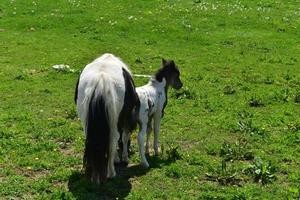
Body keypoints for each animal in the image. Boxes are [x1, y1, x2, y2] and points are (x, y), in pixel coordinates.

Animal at [75, 52, 141, 183]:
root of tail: (101, 78)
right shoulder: (126, 117)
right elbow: (124, 137)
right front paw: (124, 158)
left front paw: (116, 158)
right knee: (114, 137)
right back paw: (111, 173)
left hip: (85, 119)